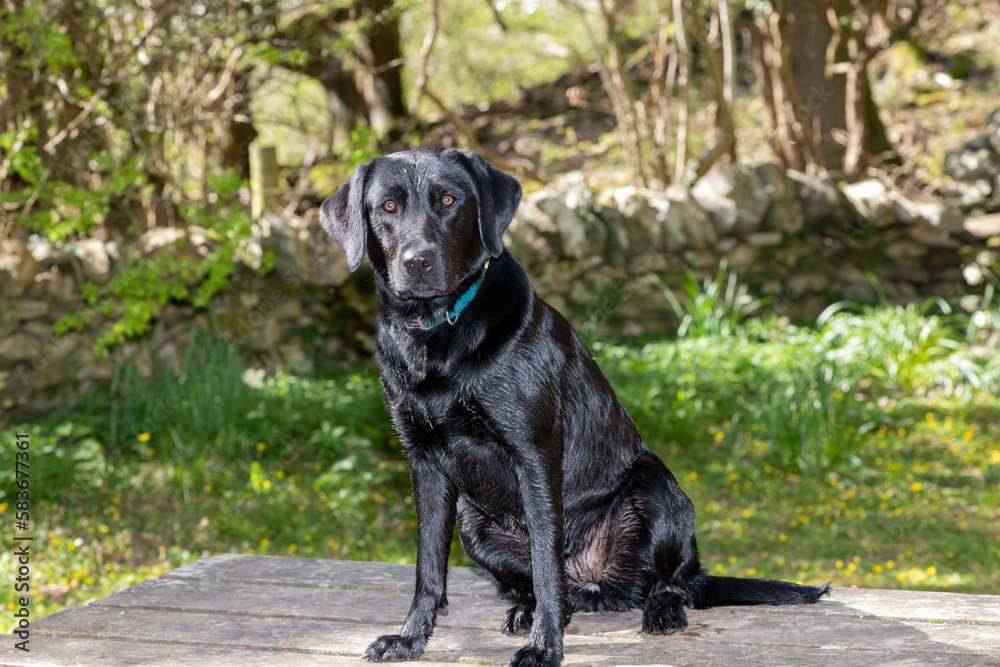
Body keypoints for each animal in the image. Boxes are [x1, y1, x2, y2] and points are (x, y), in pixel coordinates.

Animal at [320, 150, 828, 667]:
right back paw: (535, 608)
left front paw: (544, 648)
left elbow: (547, 567)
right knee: (570, 591)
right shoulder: (424, 463)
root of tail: (598, 577)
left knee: (667, 582)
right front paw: (410, 638)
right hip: (473, 523)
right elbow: (428, 568)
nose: (417, 261)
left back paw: (660, 609)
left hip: (655, 488)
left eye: (448, 200)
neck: (439, 333)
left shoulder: (534, 455)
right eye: (387, 206)